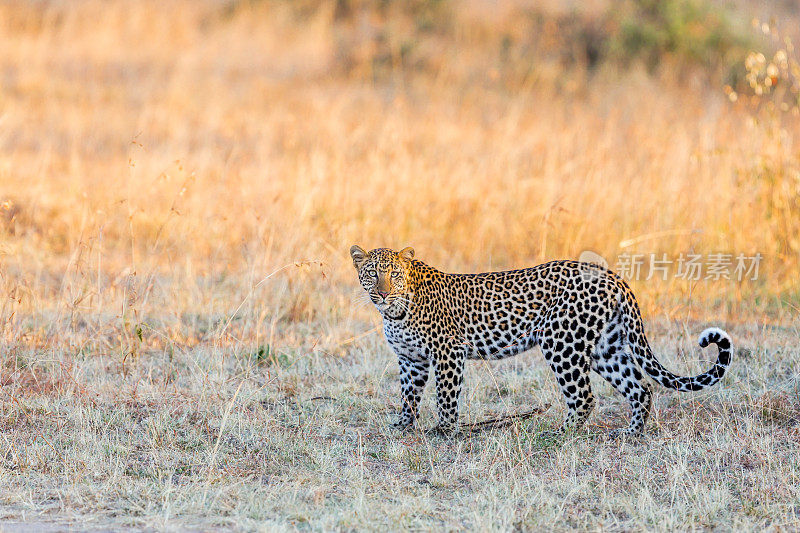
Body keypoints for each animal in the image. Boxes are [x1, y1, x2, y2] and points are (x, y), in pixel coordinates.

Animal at [348, 245, 732, 436]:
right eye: (372, 273)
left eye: (394, 273)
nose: (382, 293)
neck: (394, 312)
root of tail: (612, 275)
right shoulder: (410, 360)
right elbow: (408, 397)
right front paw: (402, 426)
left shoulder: (448, 353)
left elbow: (445, 397)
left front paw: (444, 432)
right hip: (605, 347)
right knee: (640, 387)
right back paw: (630, 433)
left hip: (561, 342)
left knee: (584, 396)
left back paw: (559, 434)